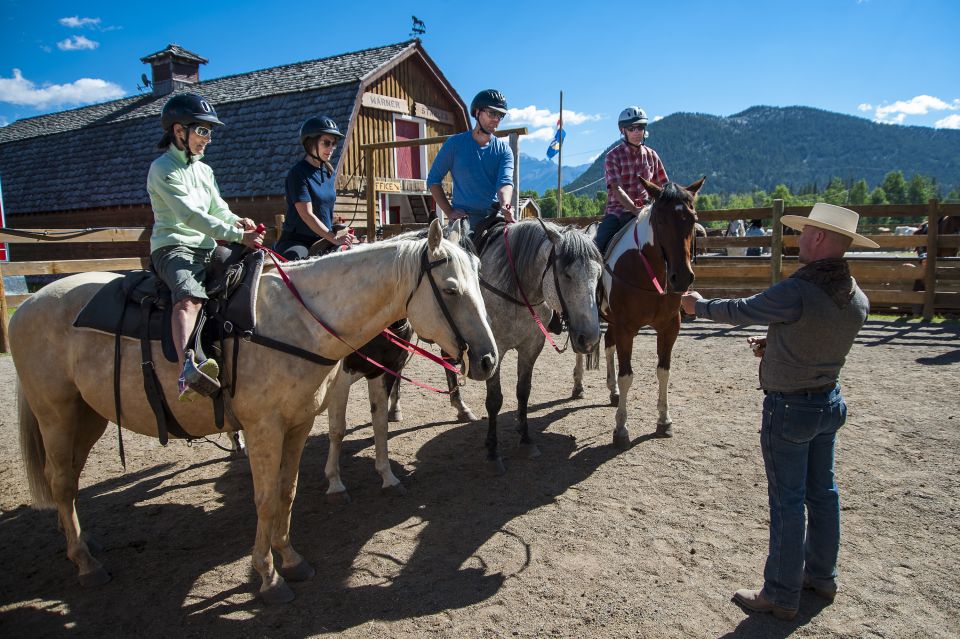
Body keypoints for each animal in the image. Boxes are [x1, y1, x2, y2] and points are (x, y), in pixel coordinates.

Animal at [11, 224, 498, 604]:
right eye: (451, 290)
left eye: (479, 284)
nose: (488, 360)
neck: (298, 322)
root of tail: (26, 307)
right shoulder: (266, 428)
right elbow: (265, 498)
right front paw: (268, 577)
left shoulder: (299, 422)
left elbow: (287, 492)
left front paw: (292, 560)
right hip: (55, 413)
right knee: (60, 481)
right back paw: (85, 562)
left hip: (86, 414)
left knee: (70, 480)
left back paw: (82, 539)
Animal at [576, 178, 704, 448]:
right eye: (661, 220)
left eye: (692, 219)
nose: (682, 278)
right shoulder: (626, 328)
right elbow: (627, 375)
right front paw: (621, 429)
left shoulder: (669, 327)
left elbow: (664, 371)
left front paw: (664, 421)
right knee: (580, 348)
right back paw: (578, 386)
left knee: (608, 345)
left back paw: (613, 391)